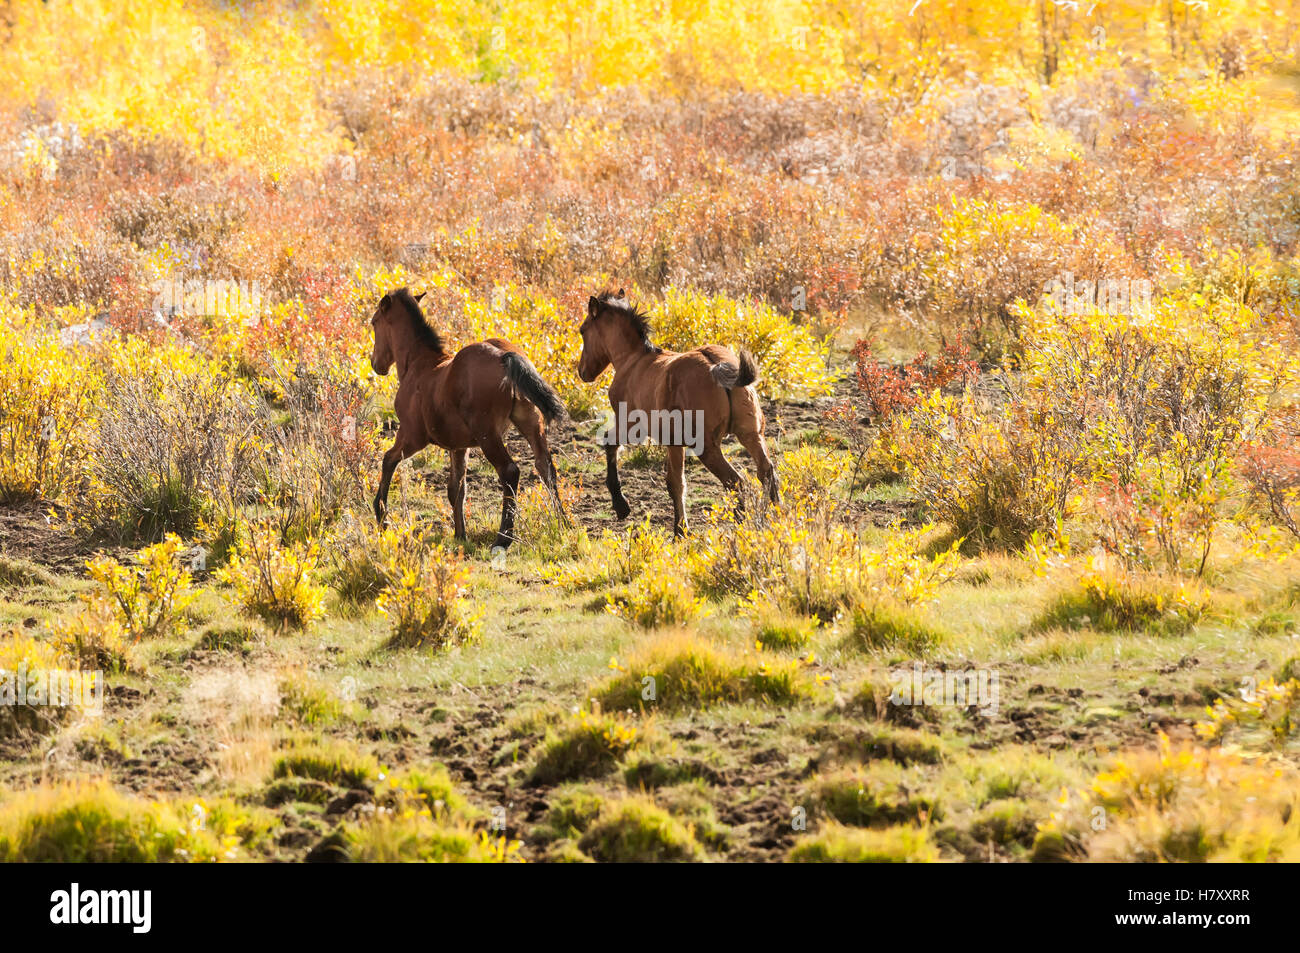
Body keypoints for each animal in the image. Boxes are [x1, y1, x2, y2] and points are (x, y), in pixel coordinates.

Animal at [369, 287, 568, 550]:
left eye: (374, 322)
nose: (376, 364)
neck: (419, 365)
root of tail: (506, 356)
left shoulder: (411, 435)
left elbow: (388, 460)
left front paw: (381, 514)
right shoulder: (459, 446)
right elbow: (456, 488)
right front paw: (460, 534)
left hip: (487, 433)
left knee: (509, 471)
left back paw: (503, 538)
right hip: (531, 421)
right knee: (545, 466)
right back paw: (563, 523)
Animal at [577, 289, 779, 536]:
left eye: (583, 330)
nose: (582, 371)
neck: (634, 361)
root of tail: (720, 365)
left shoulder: (633, 426)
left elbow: (614, 446)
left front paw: (624, 506)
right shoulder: (674, 442)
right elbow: (674, 481)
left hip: (707, 447)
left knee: (736, 481)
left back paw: (741, 524)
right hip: (751, 434)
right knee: (766, 472)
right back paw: (776, 518)